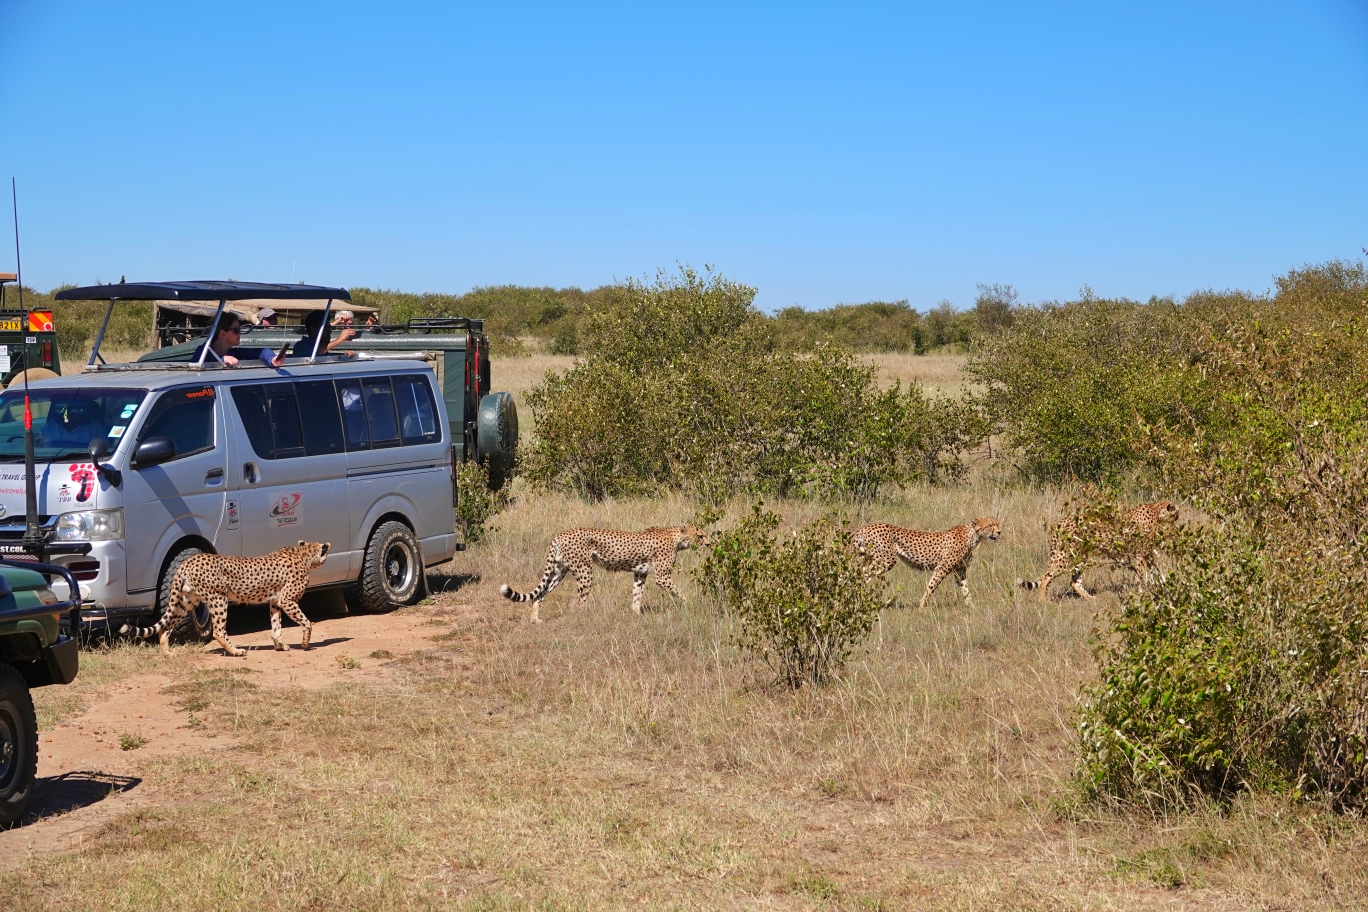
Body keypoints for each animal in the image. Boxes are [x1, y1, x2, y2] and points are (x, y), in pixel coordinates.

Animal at [123, 541, 331, 656]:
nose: (326, 559)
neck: (304, 554)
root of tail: (188, 561)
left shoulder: (275, 602)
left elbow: (276, 626)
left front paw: (280, 645)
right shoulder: (287, 600)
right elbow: (306, 622)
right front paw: (305, 643)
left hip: (185, 601)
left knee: (165, 627)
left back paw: (167, 653)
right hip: (218, 599)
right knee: (218, 631)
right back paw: (236, 651)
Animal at [506, 525, 716, 623]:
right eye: (700, 535)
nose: (708, 544)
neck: (677, 538)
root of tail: (561, 533)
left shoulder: (640, 574)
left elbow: (637, 595)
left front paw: (636, 614)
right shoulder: (662, 577)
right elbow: (680, 592)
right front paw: (690, 604)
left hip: (560, 570)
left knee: (540, 594)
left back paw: (535, 619)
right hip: (584, 570)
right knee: (580, 601)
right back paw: (586, 619)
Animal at [853, 516, 1006, 609]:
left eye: (997, 524)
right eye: (990, 525)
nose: (999, 532)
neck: (973, 536)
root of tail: (864, 528)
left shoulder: (960, 571)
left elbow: (965, 589)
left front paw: (971, 606)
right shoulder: (942, 568)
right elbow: (931, 587)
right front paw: (921, 606)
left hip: (869, 558)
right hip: (886, 560)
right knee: (861, 575)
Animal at [1017, 503, 1176, 601]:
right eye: (1176, 514)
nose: (1176, 522)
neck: (1156, 509)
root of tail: (1058, 524)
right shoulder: (1140, 551)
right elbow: (1142, 573)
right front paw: (1143, 590)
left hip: (1081, 556)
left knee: (1074, 582)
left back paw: (1091, 599)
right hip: (1065, 556)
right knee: (1046, 577)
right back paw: (1044, 601)